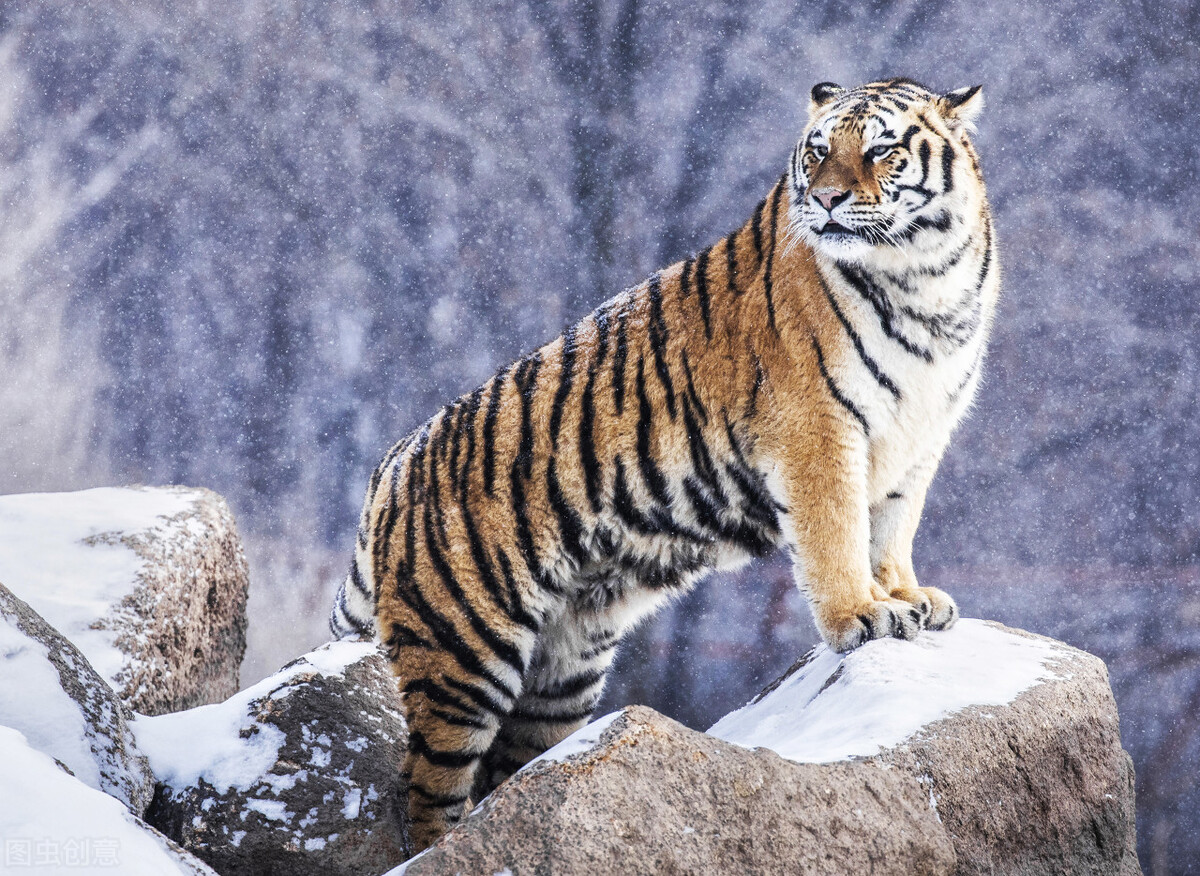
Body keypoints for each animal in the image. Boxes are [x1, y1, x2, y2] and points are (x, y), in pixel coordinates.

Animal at [330, 77, 999, 853]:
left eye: (882, 150)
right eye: (818, 151)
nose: (829, 199)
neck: (926, 282)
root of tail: (391, 465)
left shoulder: (920, 435)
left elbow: (891, 528)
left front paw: (908, 597)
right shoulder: (818, 431)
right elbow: (837, 533)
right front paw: (861, 614)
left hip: (563, 673)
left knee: (515, 773)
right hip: (461, 654)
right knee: (427, 789)